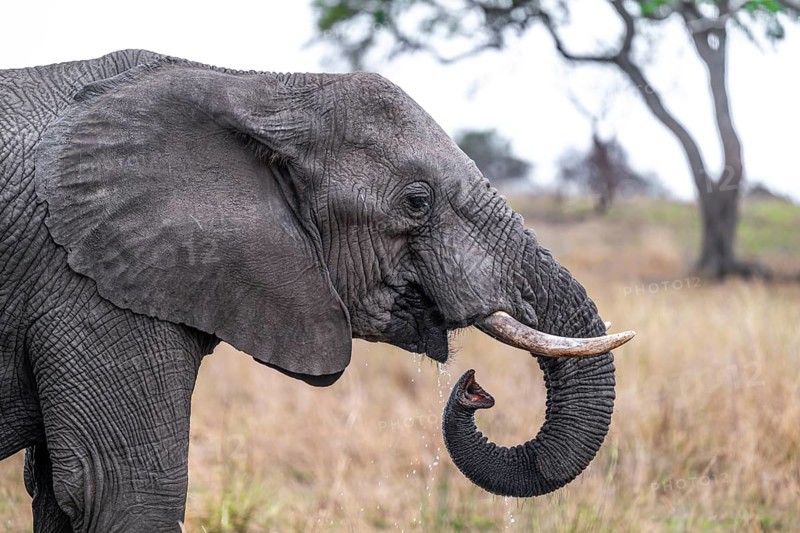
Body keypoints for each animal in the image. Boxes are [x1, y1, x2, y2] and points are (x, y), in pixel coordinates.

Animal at [0, 50, 633, 531]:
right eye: (417, 201)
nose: (475, 389)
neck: (255, 87)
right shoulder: (88, 285)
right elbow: (120, 491)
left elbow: (58, 493)